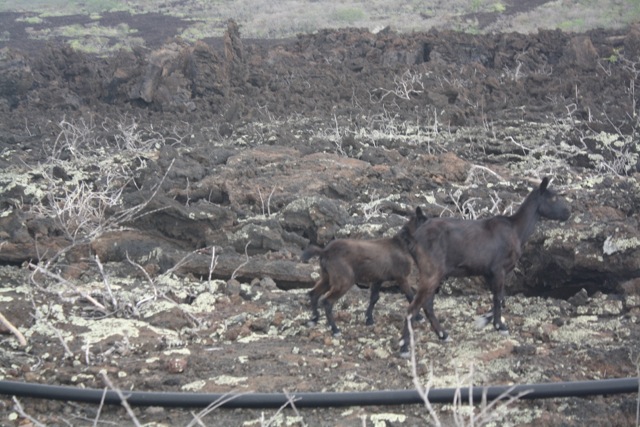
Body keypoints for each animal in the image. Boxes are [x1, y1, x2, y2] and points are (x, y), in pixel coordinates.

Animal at [302, 208, 428, 338]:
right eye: (426, 221)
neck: (401, 245)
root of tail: (325, 251)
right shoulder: (401, 277)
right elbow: (410, 295)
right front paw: (419, 317)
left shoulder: (378, 279)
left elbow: (374, 298)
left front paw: (369, 320)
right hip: (344, 281)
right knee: (327, 302)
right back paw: (335, 330)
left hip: (327, 278)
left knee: (313, 294)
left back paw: (313, 319)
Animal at [400, 177, 568, 358]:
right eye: (553, 198)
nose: (569, 212)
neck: (516, 229)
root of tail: (414, 239)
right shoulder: (499, 269)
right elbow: (499, 297)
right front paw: (499, 326)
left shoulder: (488, 272)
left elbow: (500, 297)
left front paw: (486, 319)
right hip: (431, 271)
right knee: (413, 307)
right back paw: (404, 347)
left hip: (435, 274)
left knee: (427, 304)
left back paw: (443, 335)